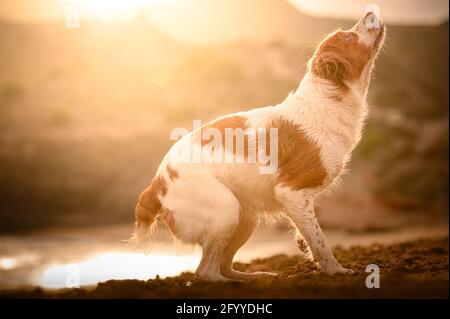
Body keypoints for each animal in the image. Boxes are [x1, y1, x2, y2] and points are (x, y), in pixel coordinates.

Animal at [131, 12, 386, 282]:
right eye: (348, 37)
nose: (370, 13)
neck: (326, 101)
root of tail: (156, 183)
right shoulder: (292, 193)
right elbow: (320, 241)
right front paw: (336, 271)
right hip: (226, 209)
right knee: (206, 271)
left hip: (246, 217)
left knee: (223, 265)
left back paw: (254, 276)